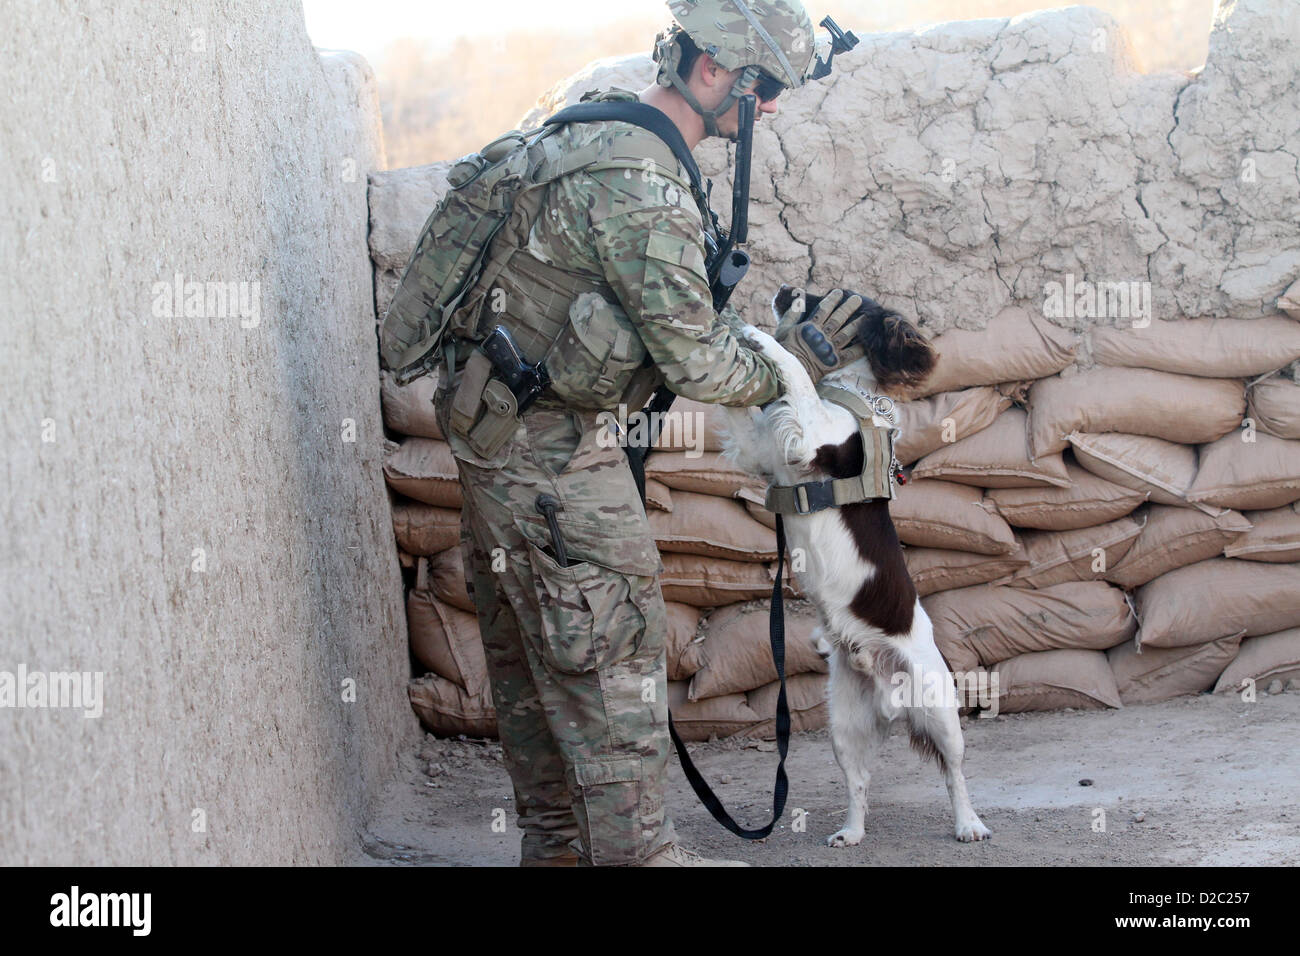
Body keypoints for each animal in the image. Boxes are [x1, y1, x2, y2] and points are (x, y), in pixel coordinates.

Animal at [728, 287, 987, 848]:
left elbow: (794, 374)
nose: (782, 291)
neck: (847, 394)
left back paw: (968, 824)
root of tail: (887, 689)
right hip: (843, 726)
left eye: (820, 292)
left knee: (955, 772)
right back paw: (851, 831)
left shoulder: (809, 438)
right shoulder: (766, 448)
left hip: (939, 711)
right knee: (858, 784)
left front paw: (762, 334)